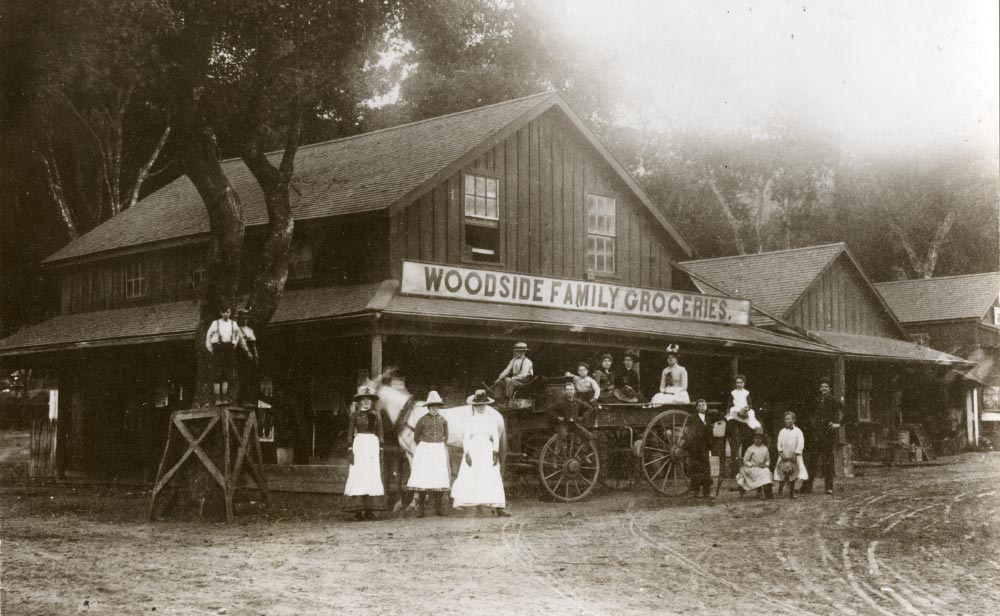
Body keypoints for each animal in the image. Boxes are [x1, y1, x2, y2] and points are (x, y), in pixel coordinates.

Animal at [370, 380, 508, 516]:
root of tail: (498, 415)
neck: (407, 415)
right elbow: (414, 475)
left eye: (372, 397)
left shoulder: (415, 450)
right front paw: (415, 502)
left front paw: (418, 502)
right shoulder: (409, 453)